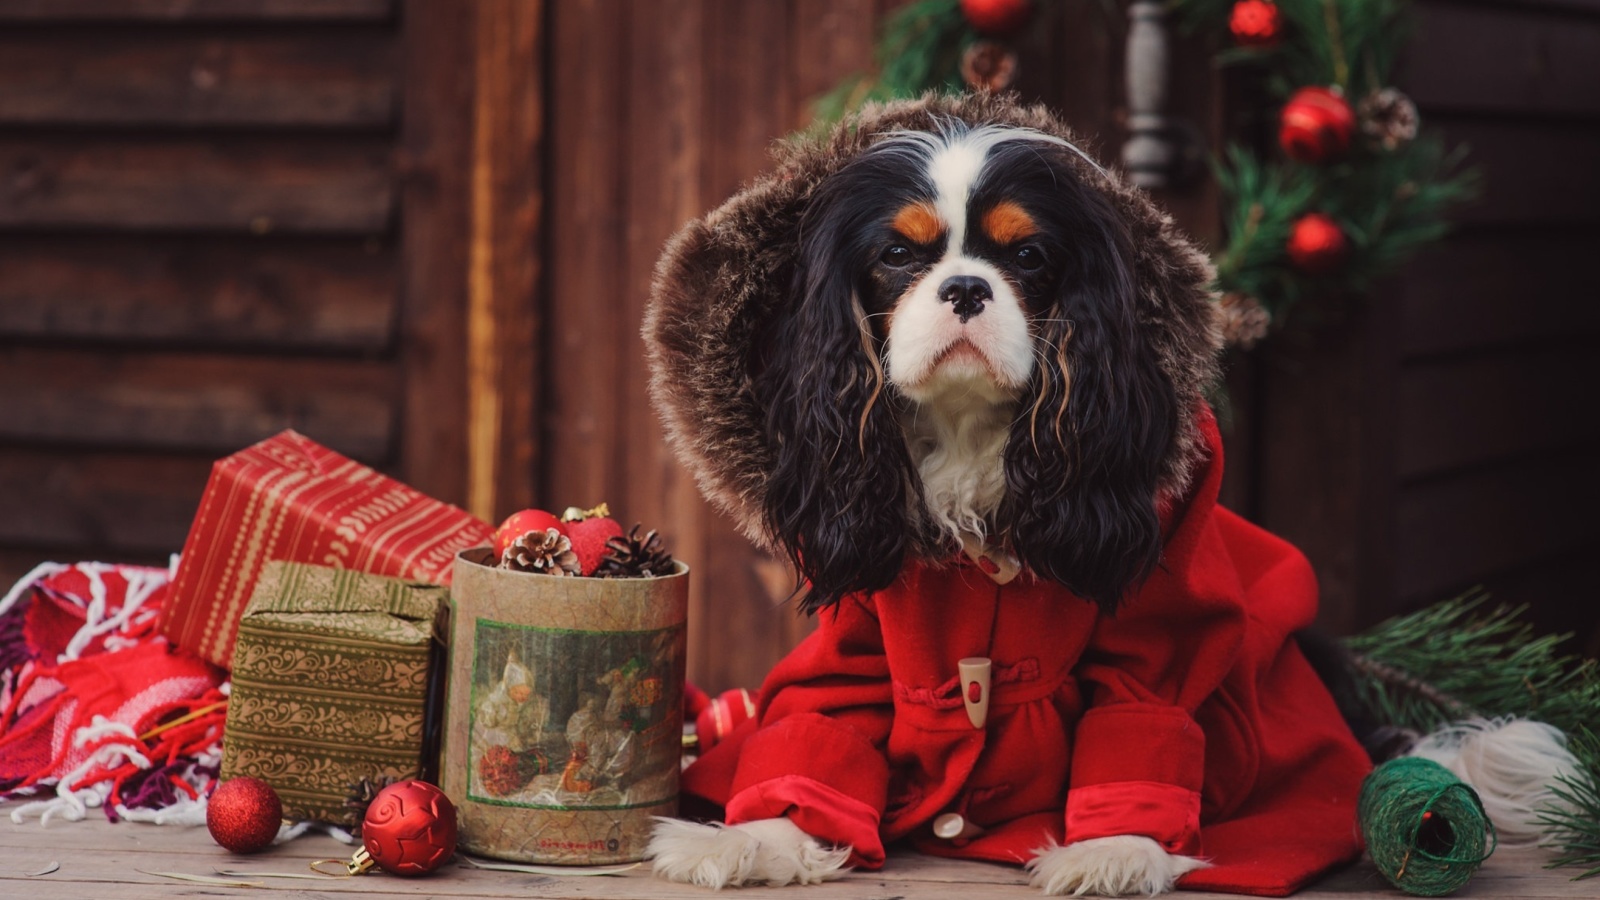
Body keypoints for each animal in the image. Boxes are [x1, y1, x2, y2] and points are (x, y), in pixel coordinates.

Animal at [643, 94, 1369, 890]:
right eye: (897, 255)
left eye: (1027, 257)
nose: (965, 288)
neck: (967, 428)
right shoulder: (859, 628)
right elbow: (824, 714)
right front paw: (763, 835)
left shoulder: (1163, 613)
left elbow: (1145, 705)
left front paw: (1115, 847)